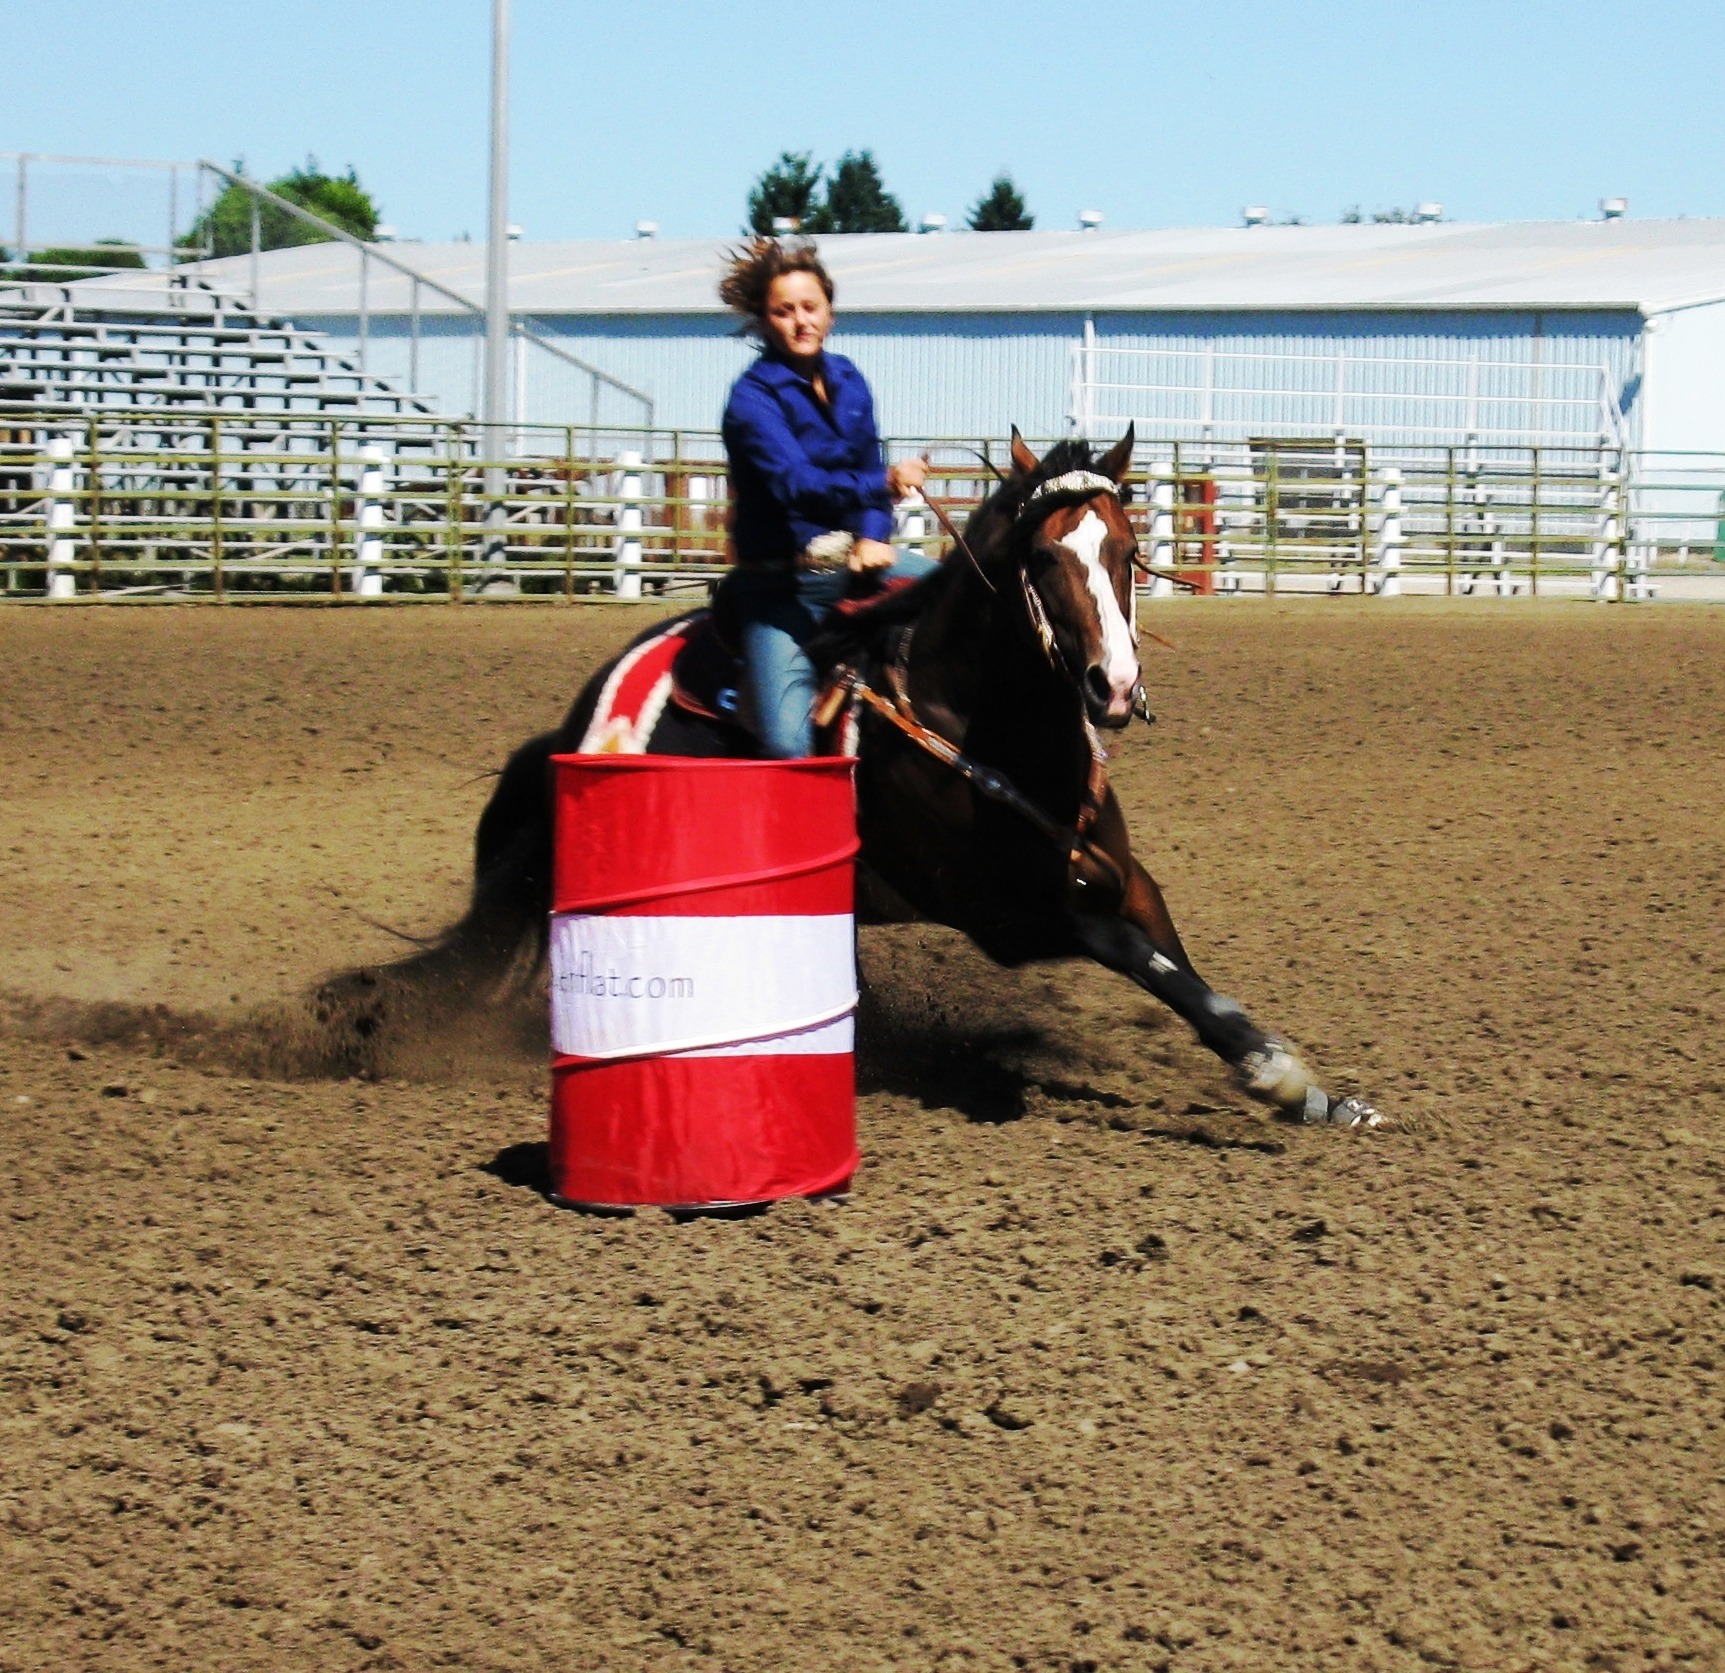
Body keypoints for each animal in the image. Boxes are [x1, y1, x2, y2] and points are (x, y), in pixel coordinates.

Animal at [406, 425, 1377, 1127]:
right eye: (1043, 557)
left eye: (1127, 549)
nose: (1112, 686)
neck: (990, 734)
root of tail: (579, 713)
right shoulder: (1011, 915)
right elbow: (1150, 964)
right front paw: (1276, 1069)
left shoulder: (1121, 875)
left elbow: (1182, 968)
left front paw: (1316, 1094)